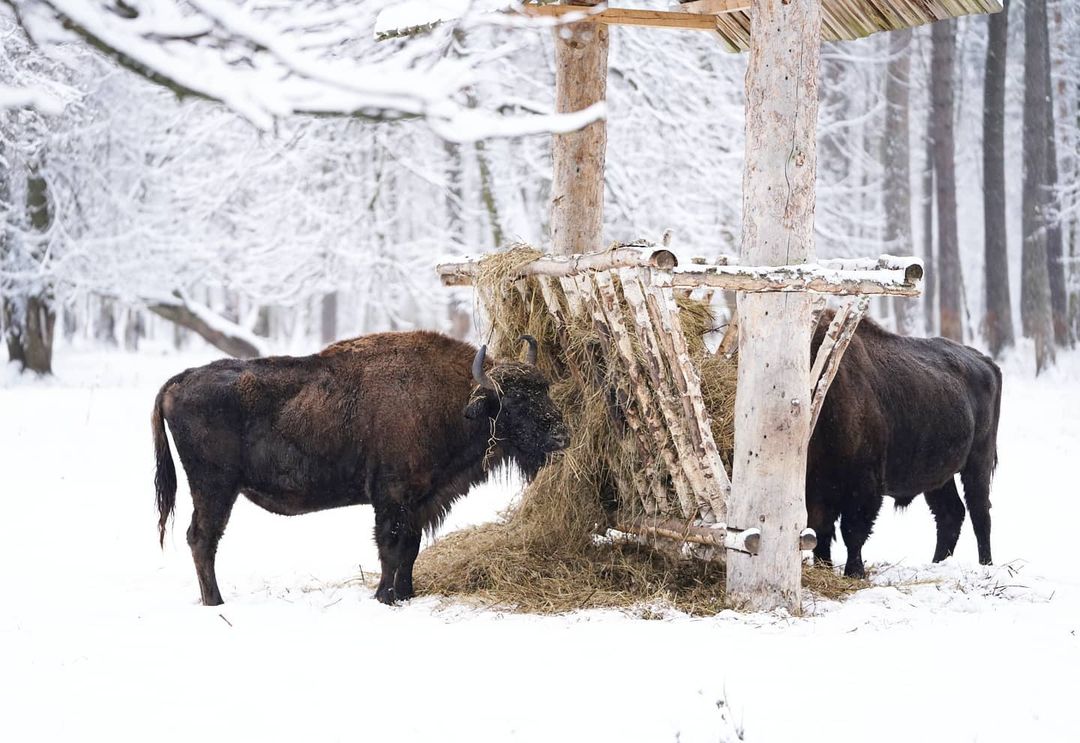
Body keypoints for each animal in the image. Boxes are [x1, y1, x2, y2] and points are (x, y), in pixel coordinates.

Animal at [157, 330, 574, 604]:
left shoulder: (419, 501)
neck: (452, 402)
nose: (561, 436)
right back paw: (216, 602)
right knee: (202, 538)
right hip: (215, 488)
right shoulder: (391, 497)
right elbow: (391, 546)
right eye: (514, 402)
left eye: (544, 388)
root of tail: (179, 381)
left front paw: (405, 595)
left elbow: (410, 549)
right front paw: (385, 596)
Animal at [807, 311, 997, 578]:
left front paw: (854, 572)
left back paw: (986, 566)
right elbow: (821, 531)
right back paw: (937, 563)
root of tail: (986, 362)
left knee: (979, 511)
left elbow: (852, 531)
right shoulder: (817, 489)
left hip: (978, 462)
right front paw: (824, 568)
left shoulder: (863, 484)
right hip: (939, 476)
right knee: (950, 513)